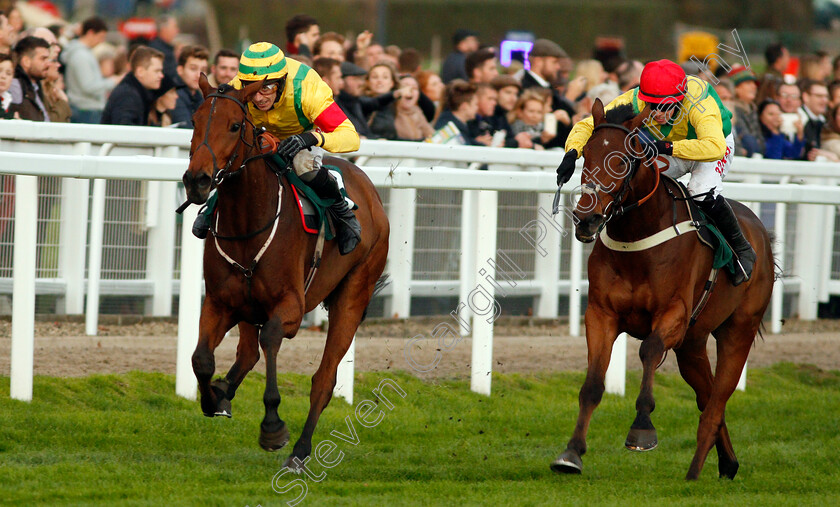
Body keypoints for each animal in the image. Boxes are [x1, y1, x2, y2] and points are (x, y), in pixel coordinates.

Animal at [182, 74, 388, 468]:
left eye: (235, 125)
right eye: (194, 121)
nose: (197, 180)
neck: (248, 224)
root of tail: (370, 192)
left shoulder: (290, 306)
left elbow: (272, 339)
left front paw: (273, 426)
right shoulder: (219, 302)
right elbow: (201, 359)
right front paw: (212, 399)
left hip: (354, 294)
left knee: (323, 379)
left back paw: (300, 451)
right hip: (248, 307)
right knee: (246, 353)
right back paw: (224, 392)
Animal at [552, 98, 776, 480]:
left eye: (622, 161)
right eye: (585, 157)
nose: (586, 219)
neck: (637, 237)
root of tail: (761, 231)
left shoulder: (673, 314)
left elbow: (649, 351)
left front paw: (641, 429)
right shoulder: (601, 315)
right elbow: (593, 384)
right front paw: (571, 453)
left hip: (738, 330)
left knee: (717, 402)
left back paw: (694, 474)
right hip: (692, 344)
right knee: (707, 397)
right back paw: (727, 463)